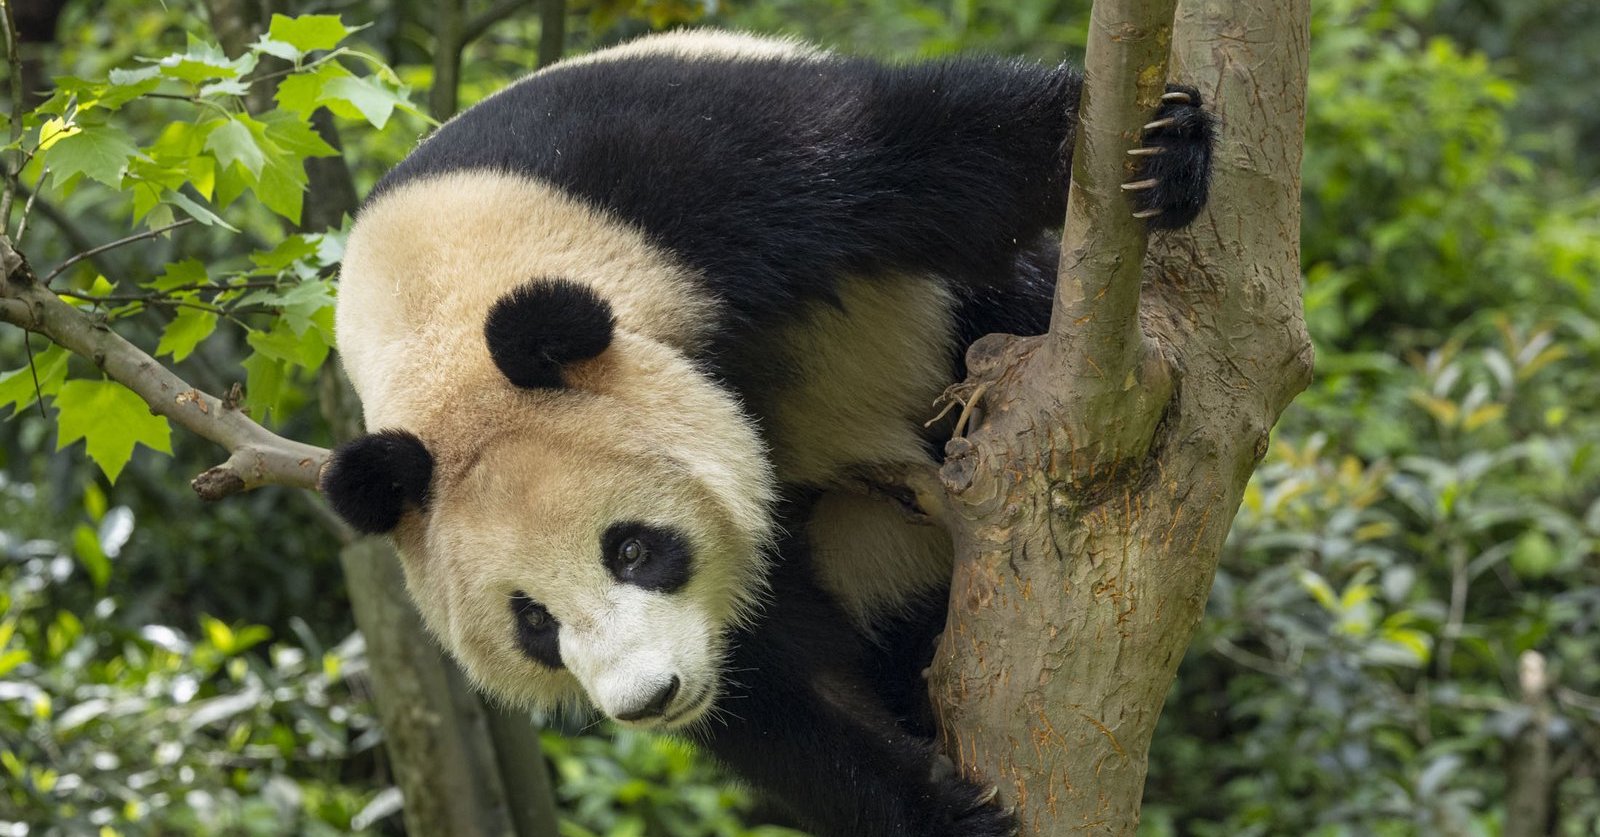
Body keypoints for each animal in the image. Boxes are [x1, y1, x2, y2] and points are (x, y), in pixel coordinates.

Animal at [324, 29, 1209, 832]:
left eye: (632, 548)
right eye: (532, 620)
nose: (650, 698)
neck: (443, 314)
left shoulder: (664, 178)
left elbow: (926, 163)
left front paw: (1167, 147)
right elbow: (779, 697)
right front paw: (942, 809)